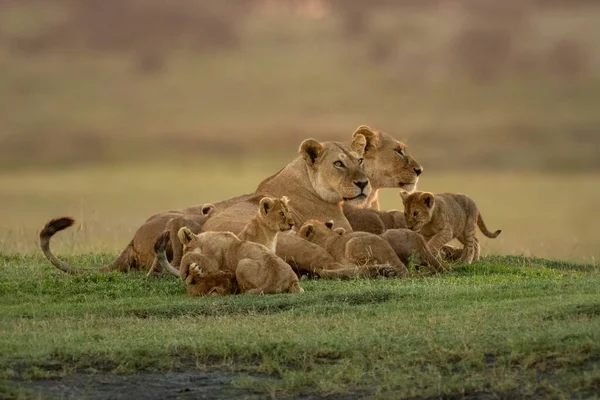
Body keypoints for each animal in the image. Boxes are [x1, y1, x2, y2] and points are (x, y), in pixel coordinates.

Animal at [156, 227, 304, 296]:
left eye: (185, 249)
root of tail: (276, 279)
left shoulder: (213, 262)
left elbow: (190, 256)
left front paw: (183, 272)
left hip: (242, 264)